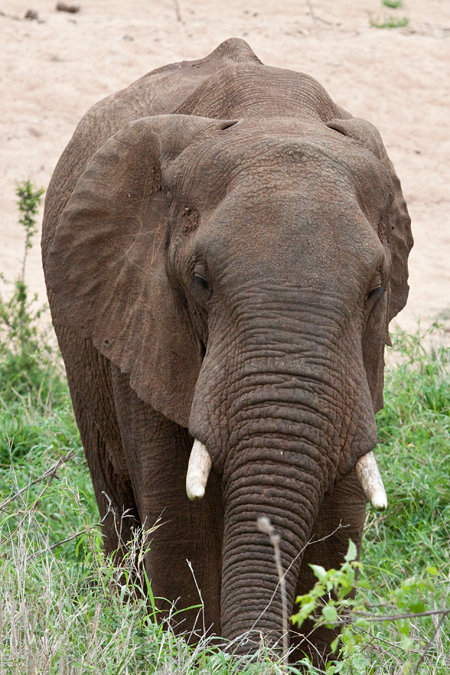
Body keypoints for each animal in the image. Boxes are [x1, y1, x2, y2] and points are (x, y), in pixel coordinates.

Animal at [41, 38, 412, 664]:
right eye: (201, 281)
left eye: (375, 290)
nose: (255, 654)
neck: (272, 112)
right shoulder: (146, 317)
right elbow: (179, 517)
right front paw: (191, 652)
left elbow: (339, 521)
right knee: (117, 499)